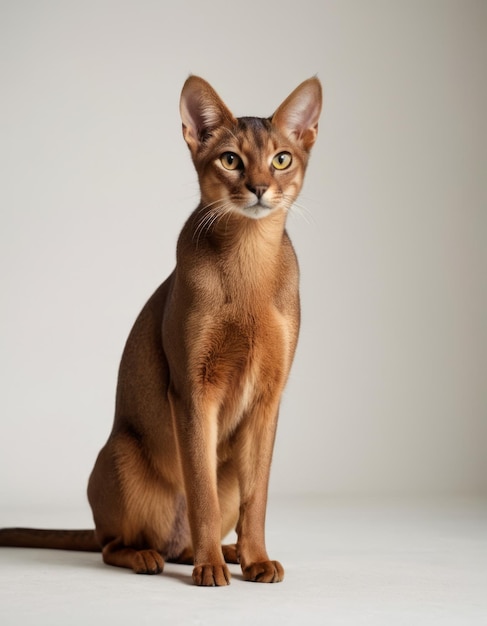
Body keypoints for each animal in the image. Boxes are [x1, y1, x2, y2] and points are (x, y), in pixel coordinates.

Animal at [0, 75, 324, 584]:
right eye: (231, 159)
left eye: (281, 159)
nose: (258, 188)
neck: (249, 260)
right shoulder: (192, 389)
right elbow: (200, 492)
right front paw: (210, 570)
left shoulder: (269, 397)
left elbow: (258, 497)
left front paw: (256, 558)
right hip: (120, 458)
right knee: (112, 545)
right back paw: (160, 557)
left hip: (225, 471)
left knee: (183, 533)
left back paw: (226, 552)